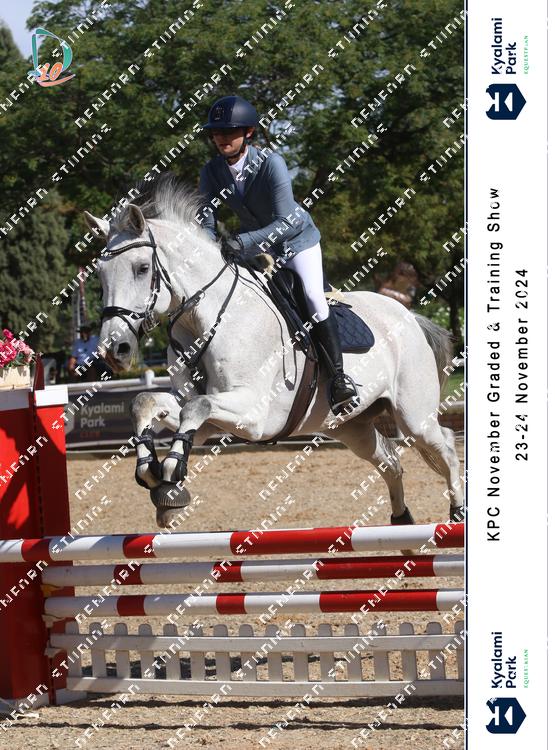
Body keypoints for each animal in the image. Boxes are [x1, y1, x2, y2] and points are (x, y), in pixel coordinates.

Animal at [85, 175, 464, 528]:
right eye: (99, 275)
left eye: (142, 268)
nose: (115, 350)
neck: (204, 319)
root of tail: (409, 316)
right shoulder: (207, 413)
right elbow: (147, 402)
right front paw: (153, 472)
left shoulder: (253, 416)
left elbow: (198, 406)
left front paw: (171, 478)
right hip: (350, 427)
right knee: (390, 460)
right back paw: (402, 521)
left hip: (413, 416)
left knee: (444, 443)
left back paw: (457, 511)